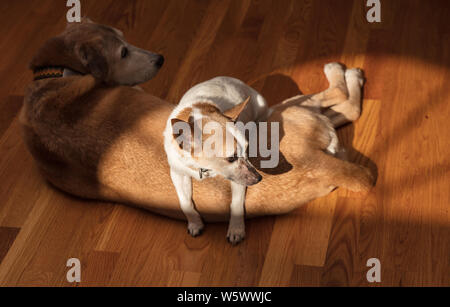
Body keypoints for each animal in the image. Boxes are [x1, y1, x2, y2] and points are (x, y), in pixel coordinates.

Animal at [165, 77, 270, 245]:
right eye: (231, 157)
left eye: (247, 150)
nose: (259, 178)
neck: (204, 168)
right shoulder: (177, 173)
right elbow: (184, 201)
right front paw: (194, 223)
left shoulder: (238, 179)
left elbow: (236, 203)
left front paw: (236, 229)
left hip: (261, 105)